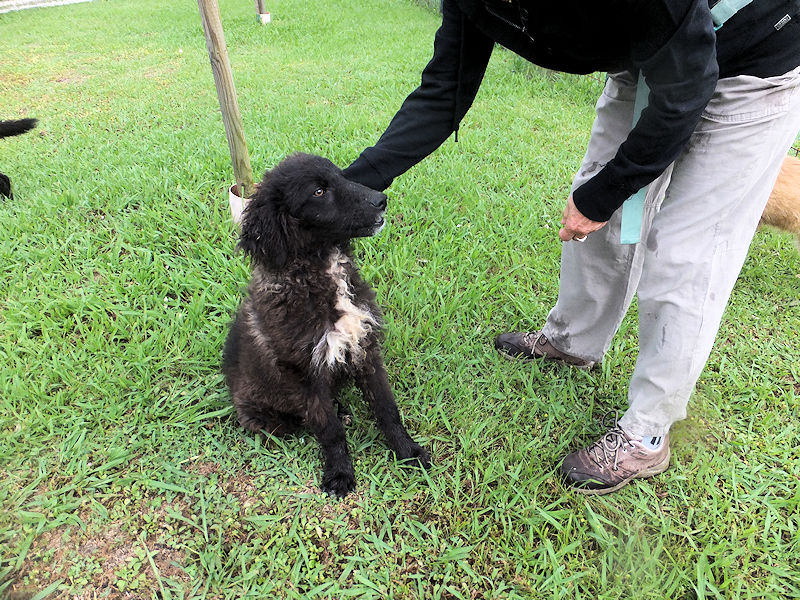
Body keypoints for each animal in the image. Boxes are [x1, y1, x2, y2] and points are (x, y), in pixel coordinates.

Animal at [223, 153, 430, 497]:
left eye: (341, 176)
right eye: (318, 192)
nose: (381, 200)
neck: (321, 273)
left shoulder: (365, 348)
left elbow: (386, 407)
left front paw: (407, 450)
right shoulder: (304, 373)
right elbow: (327, 428)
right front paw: (340, 473)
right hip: (267, 418)